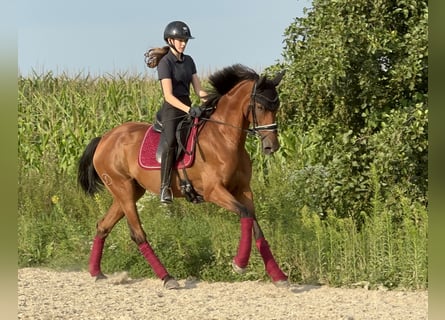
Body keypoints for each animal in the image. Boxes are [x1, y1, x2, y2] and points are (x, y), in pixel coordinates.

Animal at [77, 63, 286, 288]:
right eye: (260, 107)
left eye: (277, 107)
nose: (272, 146)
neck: (225, 137)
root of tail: (104, 138)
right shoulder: (214, 191)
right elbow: (245, 214)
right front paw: (239, 264)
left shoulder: (243, 190)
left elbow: (254, 224)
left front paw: (278, 275)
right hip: (122, 189)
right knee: (138, 234)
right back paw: (167, 278)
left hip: (130, 192)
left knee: (103, 226)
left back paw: (96, 272)